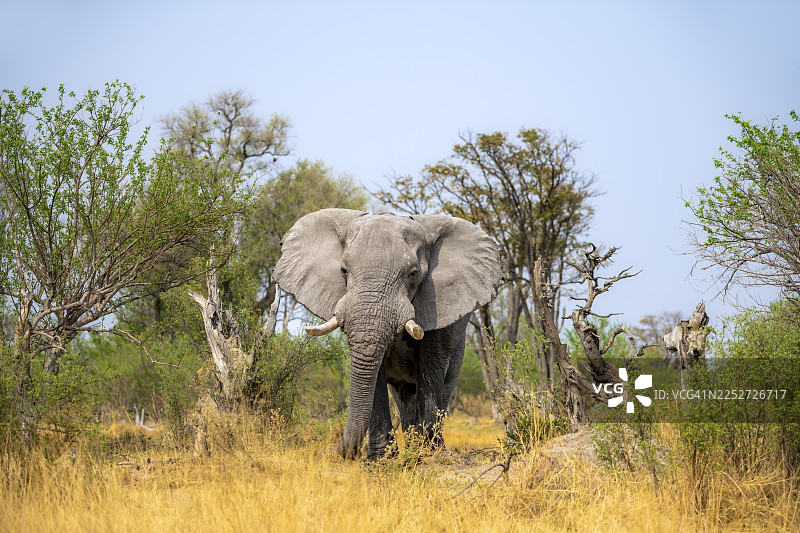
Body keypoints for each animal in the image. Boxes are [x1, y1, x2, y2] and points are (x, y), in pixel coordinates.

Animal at [273, 209, 502, 460]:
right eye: (343, 271)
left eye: (413, 273)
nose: (342, 452)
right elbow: (375, 372)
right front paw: (381, 460)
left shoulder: (437, 303)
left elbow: (430, 366)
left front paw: (425, 453)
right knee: (404, 396)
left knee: (444, 386)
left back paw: (433, 447)